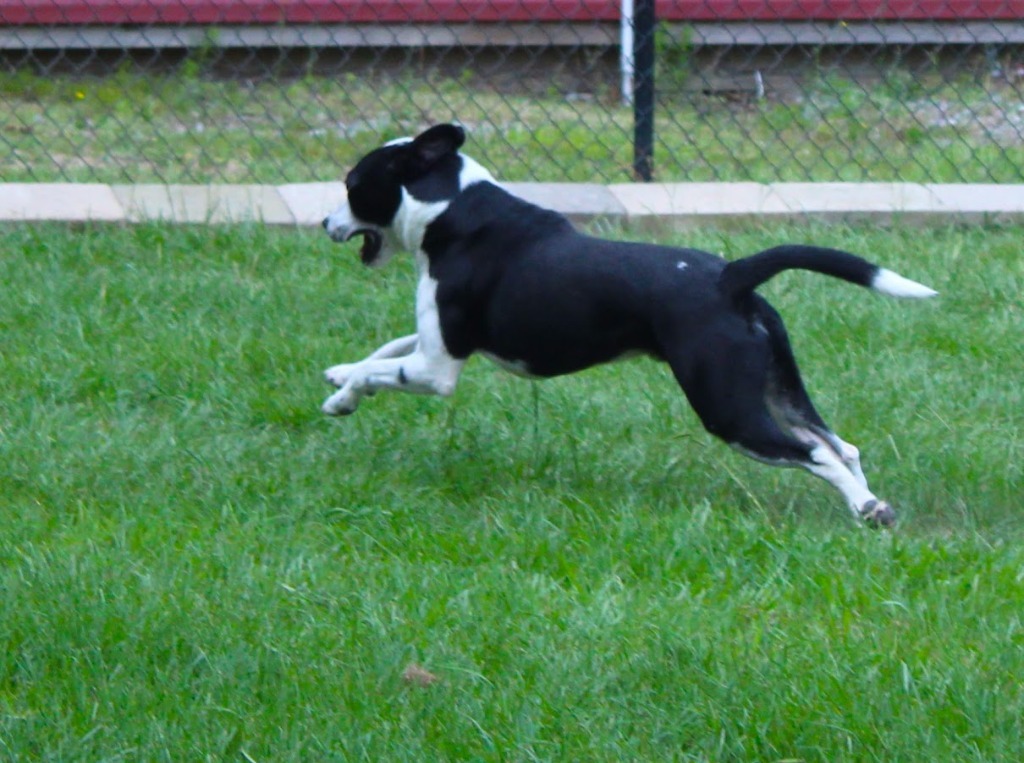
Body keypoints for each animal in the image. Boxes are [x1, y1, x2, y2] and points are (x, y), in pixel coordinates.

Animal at [319, 126, 937, 528]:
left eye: (351, 183)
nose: (324, 222)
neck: (453, 208)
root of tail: (730, 277)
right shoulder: (437, 345)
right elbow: (385, 348)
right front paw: (340, 384)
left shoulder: (438, 367)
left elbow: (382, 368)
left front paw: (343, 387)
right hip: (777, 388)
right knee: (840, 446)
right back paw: (871, 504)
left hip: (729, 409)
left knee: (815, 455)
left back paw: (865, 508)